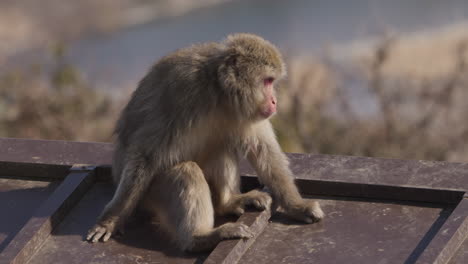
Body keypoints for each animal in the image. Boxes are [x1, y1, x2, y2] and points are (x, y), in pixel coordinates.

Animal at [86, 33, 324, 252]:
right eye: (267, 81)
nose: (274, 101)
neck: (219, 90)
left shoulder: (246, 111)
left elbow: (263, 151)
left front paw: (296, 206)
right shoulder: (182, 93)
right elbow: (146, 155)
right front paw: (110, 221)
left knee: (222, 146)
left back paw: (227, 203)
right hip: (148, 196)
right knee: (186, 170)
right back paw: (199, 238)